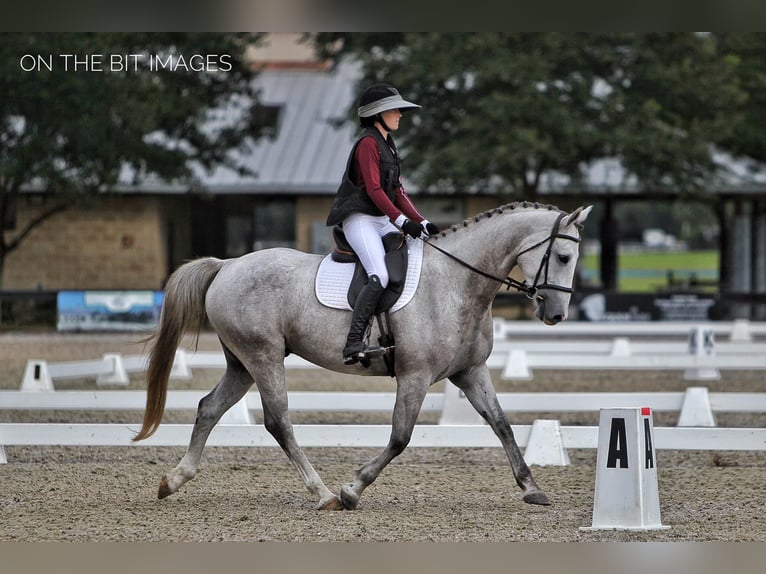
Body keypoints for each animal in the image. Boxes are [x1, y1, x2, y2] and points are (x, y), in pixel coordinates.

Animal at [134, 201, 592, 508]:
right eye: (563, 256)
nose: (555, 314)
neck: (456, 282)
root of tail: (227, 265)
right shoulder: (415, 376)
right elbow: (400, 437)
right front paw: (352, 489)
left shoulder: (470, 371)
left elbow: (502, 425)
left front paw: (532, 488)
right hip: (263, 356)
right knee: (278, 421)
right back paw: (323, 494)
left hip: (242, 363)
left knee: (209, 407)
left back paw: (174, 480)